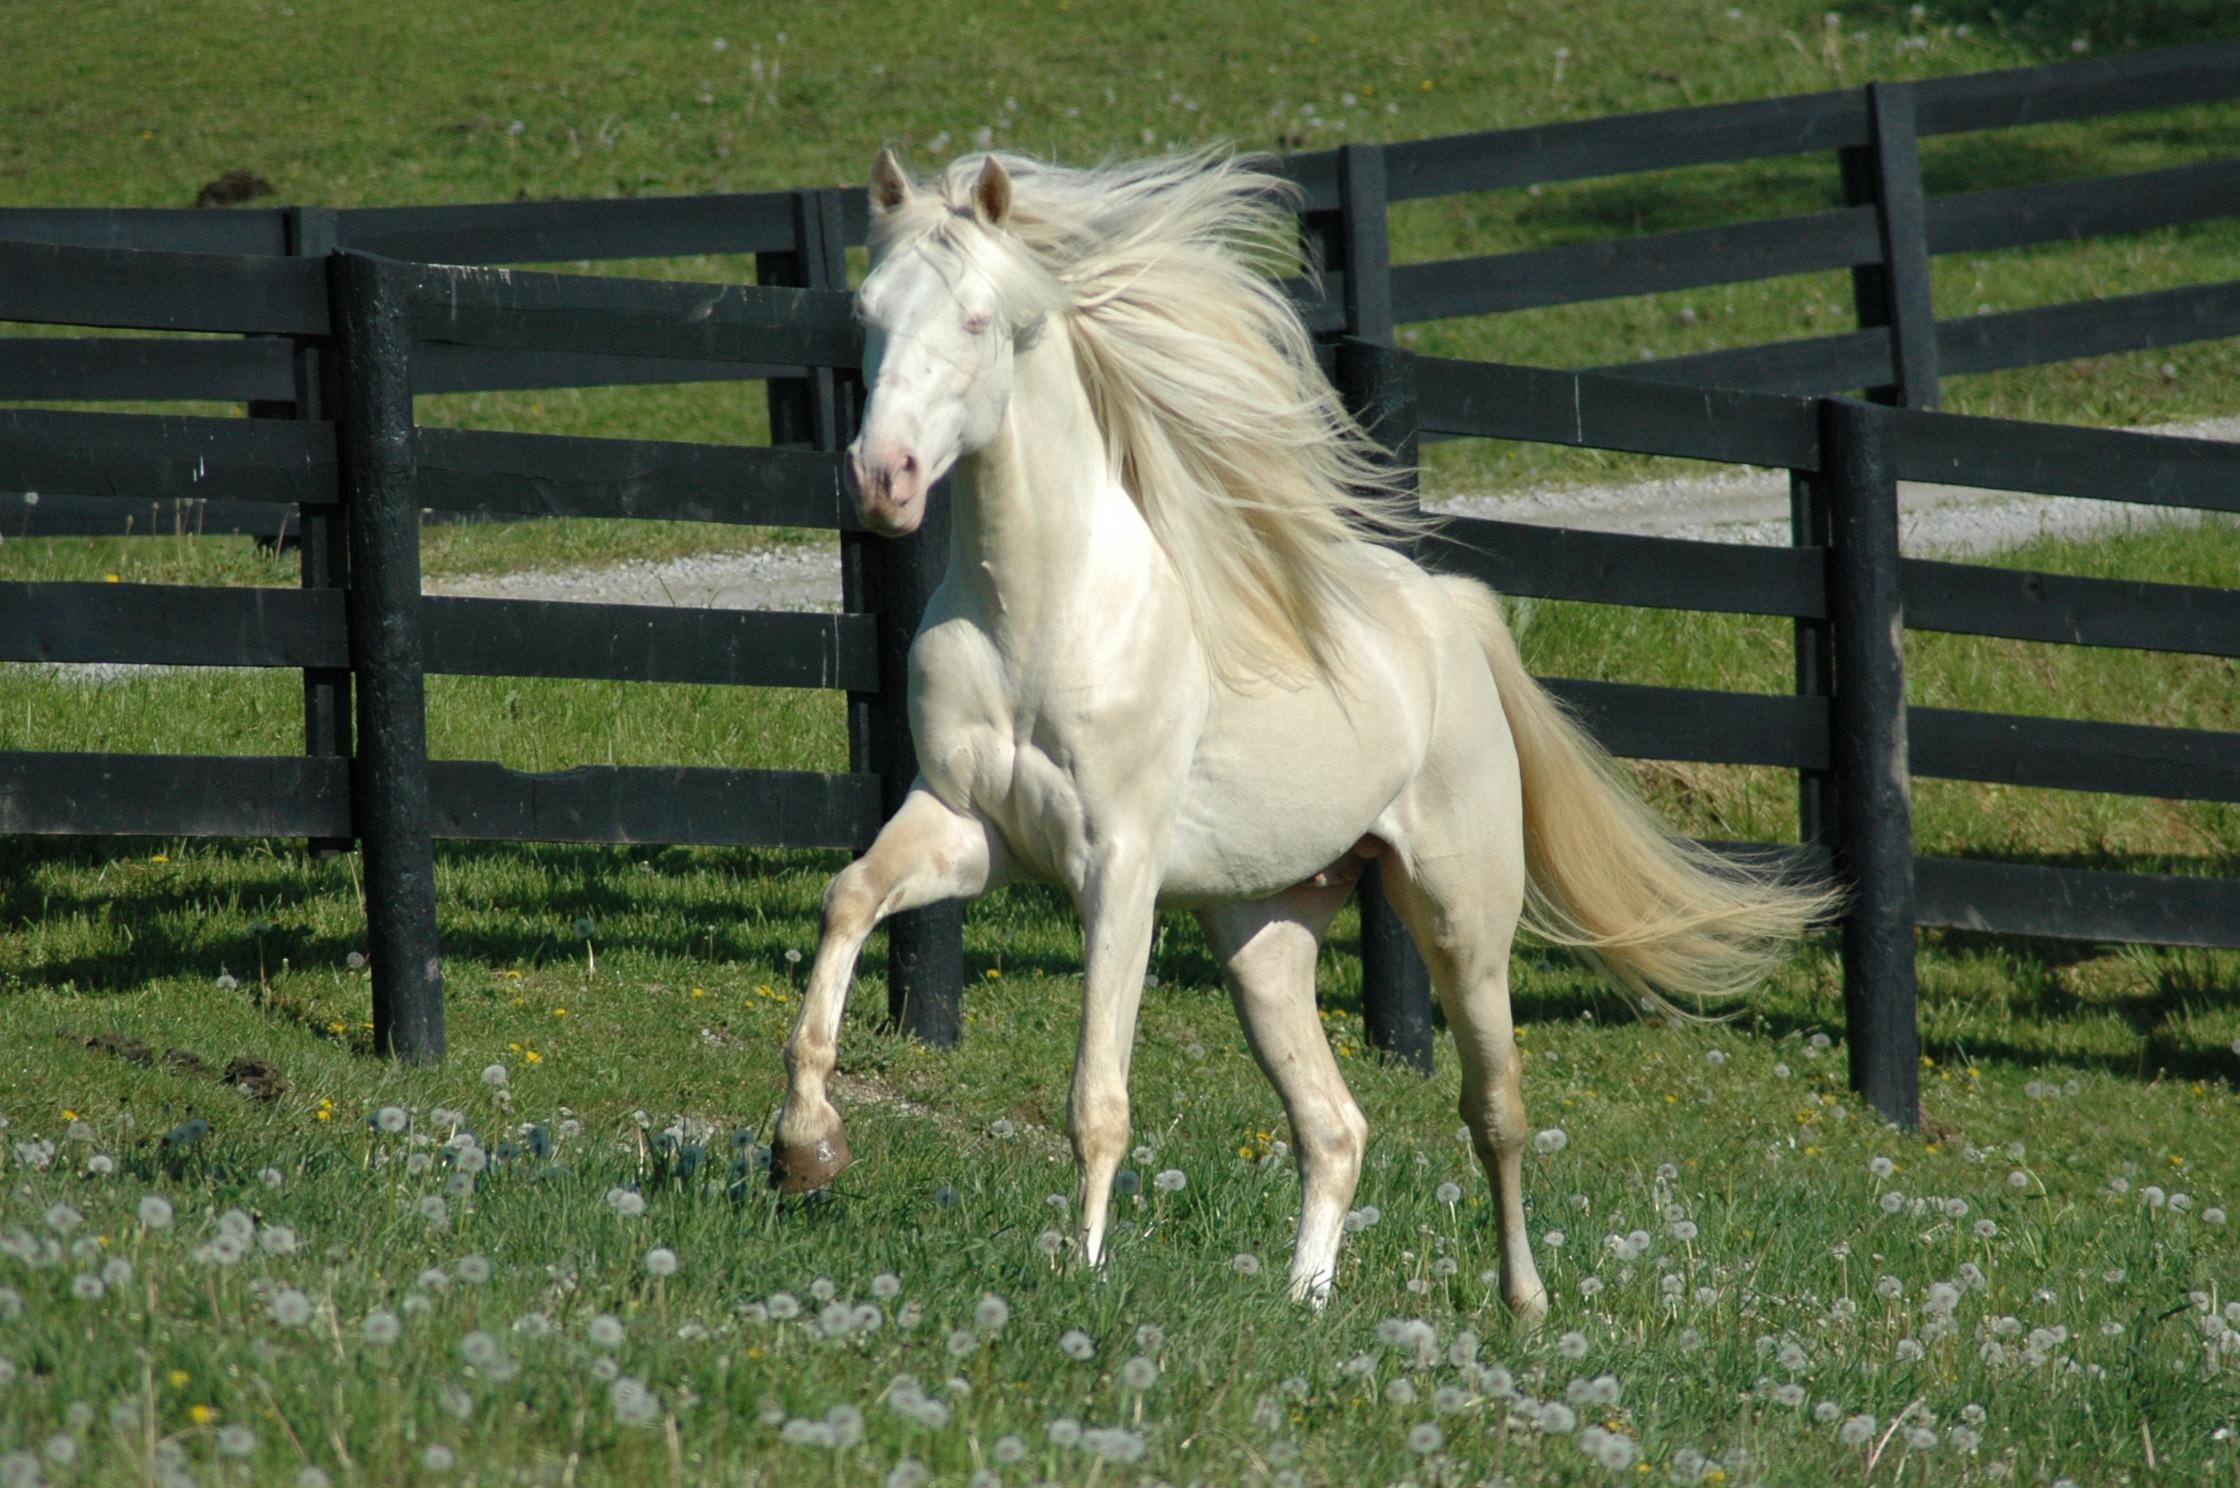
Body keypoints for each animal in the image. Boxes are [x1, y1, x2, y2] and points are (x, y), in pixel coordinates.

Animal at [770, 146, 1831, 1325]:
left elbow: (1097, 1094)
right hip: (1264, 938)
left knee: (1494, 1113)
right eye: (868, 313)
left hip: (1461, 921)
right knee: (1334, 1128)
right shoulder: (966, 828)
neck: (1044, 616)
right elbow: (849, 899)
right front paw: (804, 1148)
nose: (883, 479)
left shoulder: (1117, 869)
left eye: (977, 317)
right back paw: (1302, 1303)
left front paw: (1081, 1270)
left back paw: (1522, 1302)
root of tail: (1451, 617)